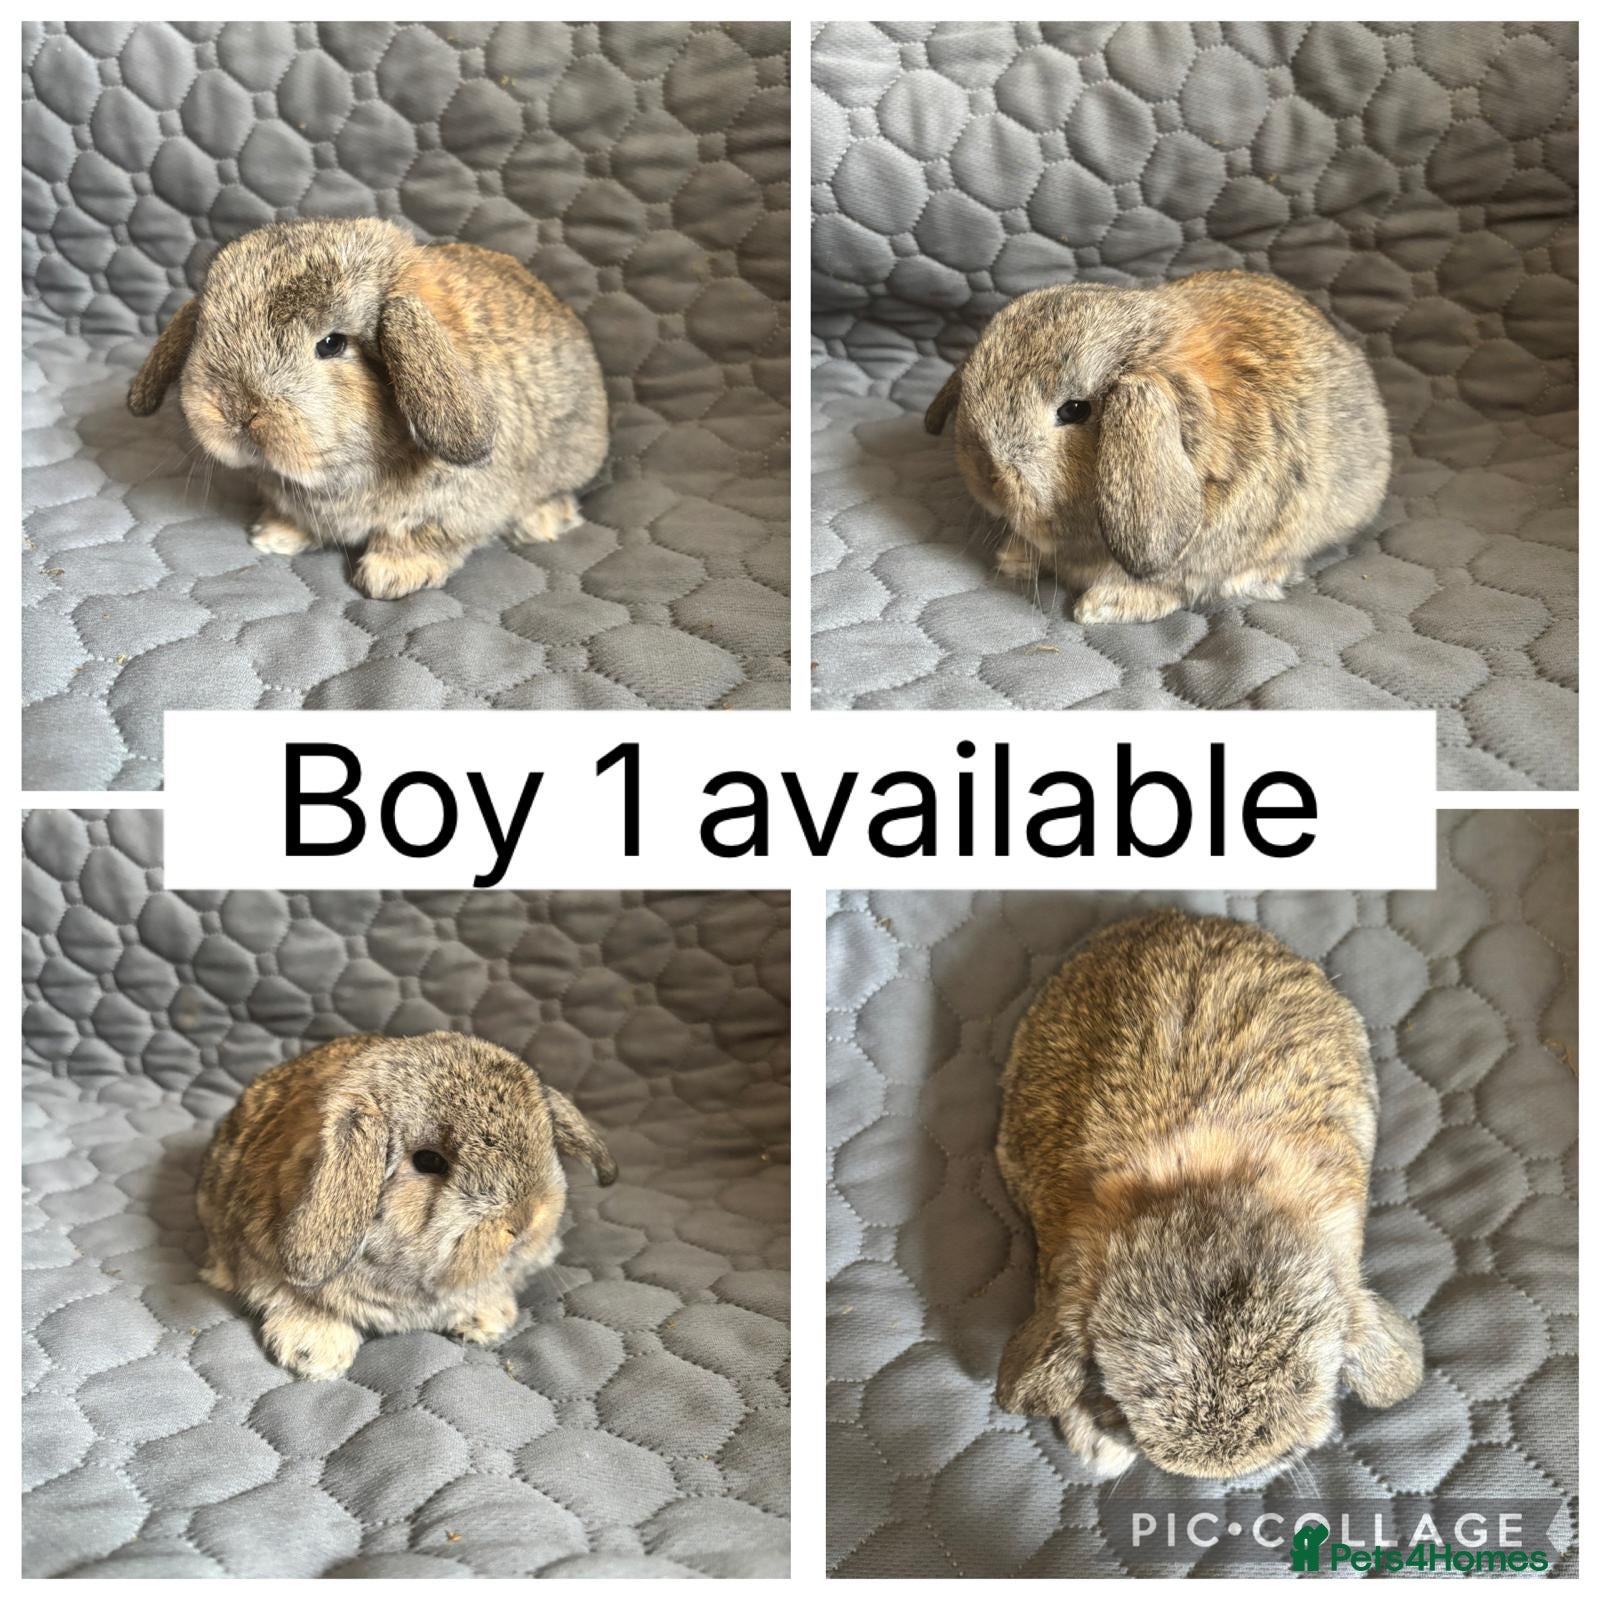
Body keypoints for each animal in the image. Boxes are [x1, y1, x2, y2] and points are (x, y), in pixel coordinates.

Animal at [127, 218, 607, 599]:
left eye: (331, 344)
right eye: (206, 328)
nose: (237, 411)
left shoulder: (454, 508)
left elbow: (425, 537)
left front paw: (391, 576)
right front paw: (274, 536)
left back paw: (543, 522)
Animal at [197, 1031, 617, 1379]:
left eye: (544, 1138)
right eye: (429, 1161)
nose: (525, 1221)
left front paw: (487, 1319)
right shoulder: (257, 1264)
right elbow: (290, 1300)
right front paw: (316, 1355)